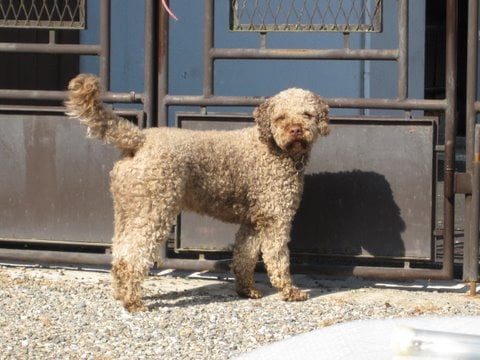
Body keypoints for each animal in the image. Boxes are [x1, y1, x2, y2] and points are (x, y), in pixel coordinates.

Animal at [65, 74, 330, 312]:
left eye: (307, 114)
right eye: (280, 117)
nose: (296, 130)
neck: (274, 149)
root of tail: (139, 138)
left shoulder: (254, 221)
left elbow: (245, 256)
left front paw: (247, 290)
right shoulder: (276, 217)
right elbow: (278, 258)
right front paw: (290, 291)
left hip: (127, 211)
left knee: (120, 253)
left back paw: (121, 293)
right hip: (154, 211)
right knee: (133, 257)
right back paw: (133, 302)